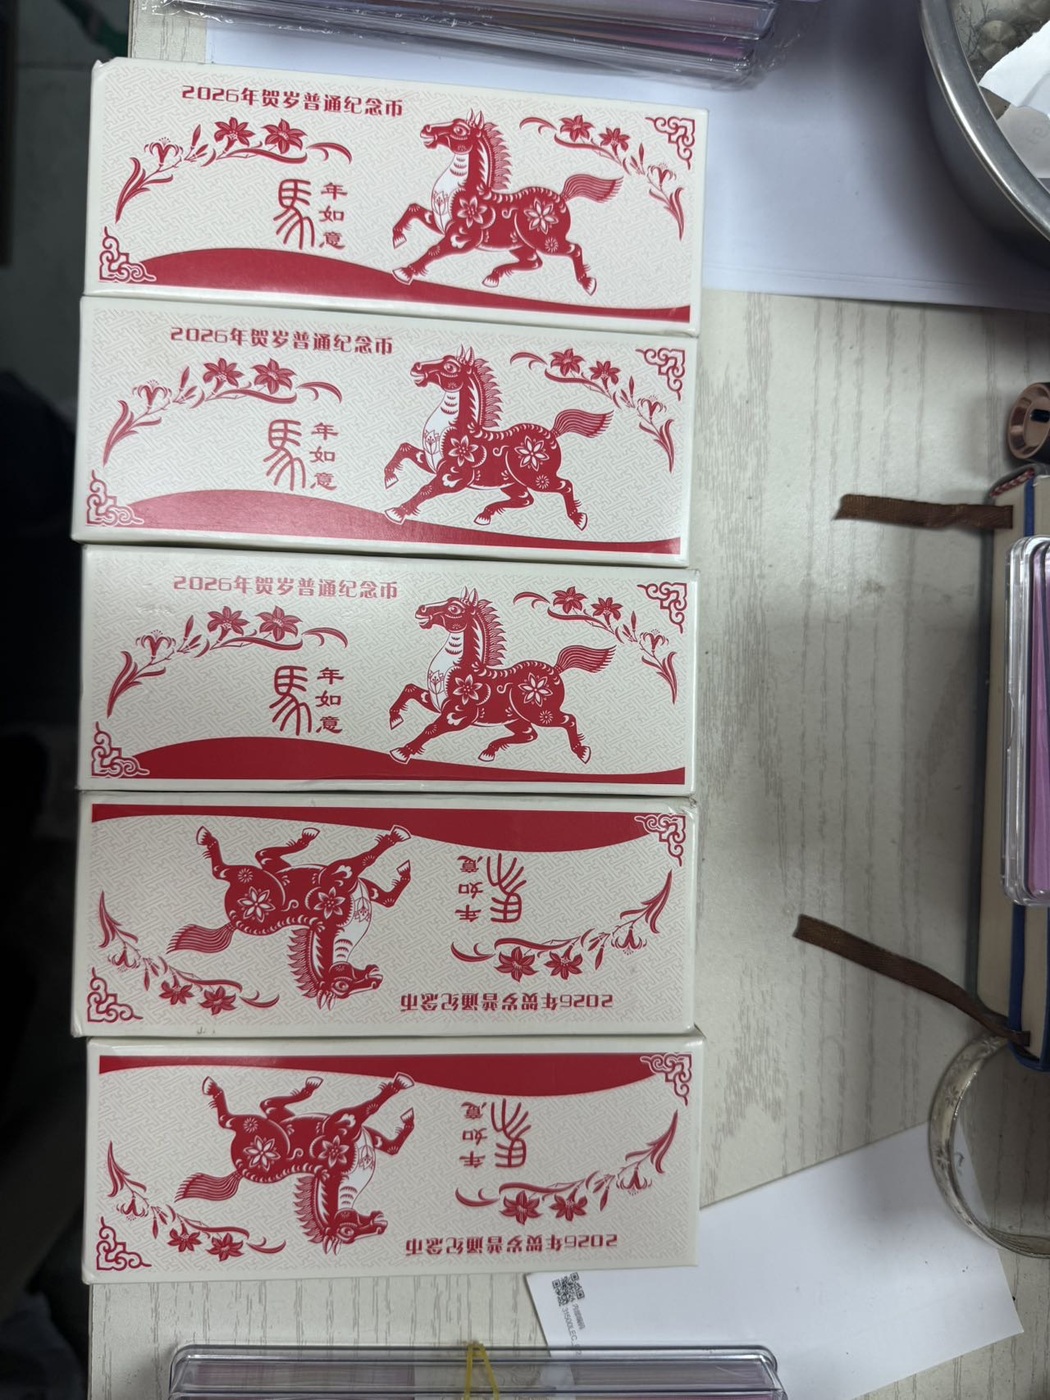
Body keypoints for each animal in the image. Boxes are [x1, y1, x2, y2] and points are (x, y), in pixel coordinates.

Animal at [168, 825, 411, 1007]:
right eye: (342, 986)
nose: (375, 980)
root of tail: (233, 922)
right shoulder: (340, 875)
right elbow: (367, 859)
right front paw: (395, 836)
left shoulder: (363, 889)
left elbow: (388, 899)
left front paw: (404, 870)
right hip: (251, 876)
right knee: (223, 869)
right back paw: (207, 838)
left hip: (270, 870)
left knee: (262, 856)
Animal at [177, 1073, 415, 1252]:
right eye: (348, 1232)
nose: (381, 1227)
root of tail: (240, 1169)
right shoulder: (344, 1123)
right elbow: (371, 1107)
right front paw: (399, 1083)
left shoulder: (367, 1137)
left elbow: (391, 1147)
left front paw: (408, 1116)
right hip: (263, 1128)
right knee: (229, 1119)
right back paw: (212, 1087)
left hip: (277, 1119)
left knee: (265, 1105)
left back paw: (310, 1085)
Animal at [383, 349, 610, 530]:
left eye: (450, 366)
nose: (417, 367)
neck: (453, 430)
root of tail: (552, 433)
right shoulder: (431, 462)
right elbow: (404, 449)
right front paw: (389, 478)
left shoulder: (453, 477)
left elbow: (426, 489)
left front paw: (397, 512)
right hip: (511, 483)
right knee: (526, 499)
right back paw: (484, 515)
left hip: (538, 478)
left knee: (565, 485)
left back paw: (578, 519)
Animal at [388, 589, 613, 766]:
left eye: (454, 609)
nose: (421, 609)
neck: (457, 669)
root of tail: (556, 670)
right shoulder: (435, 701)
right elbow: (409, 689)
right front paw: (394, 719)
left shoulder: (458, 715)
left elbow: (431, 728)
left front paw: (402, 752)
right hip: (515, 719)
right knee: (529, 734)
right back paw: (489, 751)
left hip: (541, 713)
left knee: (568, 720)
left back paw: (582, 752)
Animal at [392, 113, 621, 294]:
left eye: (459, 129)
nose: (427, 129)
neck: (461, 191)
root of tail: (562, 198)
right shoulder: (440, 222)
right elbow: (413, 209)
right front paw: (397, 237)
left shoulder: (463, 237)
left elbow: (434, 250)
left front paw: (405, 272)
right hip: (520, 246)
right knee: (534, 262)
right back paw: (493, 277)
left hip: (547, 241)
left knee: (574, 249)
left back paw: (587, 284)